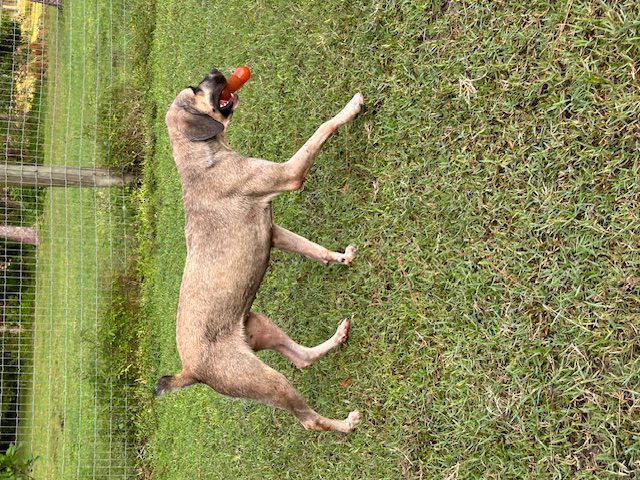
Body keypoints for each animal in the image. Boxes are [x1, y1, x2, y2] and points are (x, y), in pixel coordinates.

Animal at [154, 69, 362, 434]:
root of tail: (190, 372)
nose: (215, 71)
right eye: (197, 88)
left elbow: (314, 249)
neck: (201, 161)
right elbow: (324, 127)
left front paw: (341, 257)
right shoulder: (288, 174)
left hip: (259, 324)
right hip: (266, 379)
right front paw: (352, 107)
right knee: (310, 421)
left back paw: (338, 338)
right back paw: (346, 424)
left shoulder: (273, 232)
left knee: (302, 359)